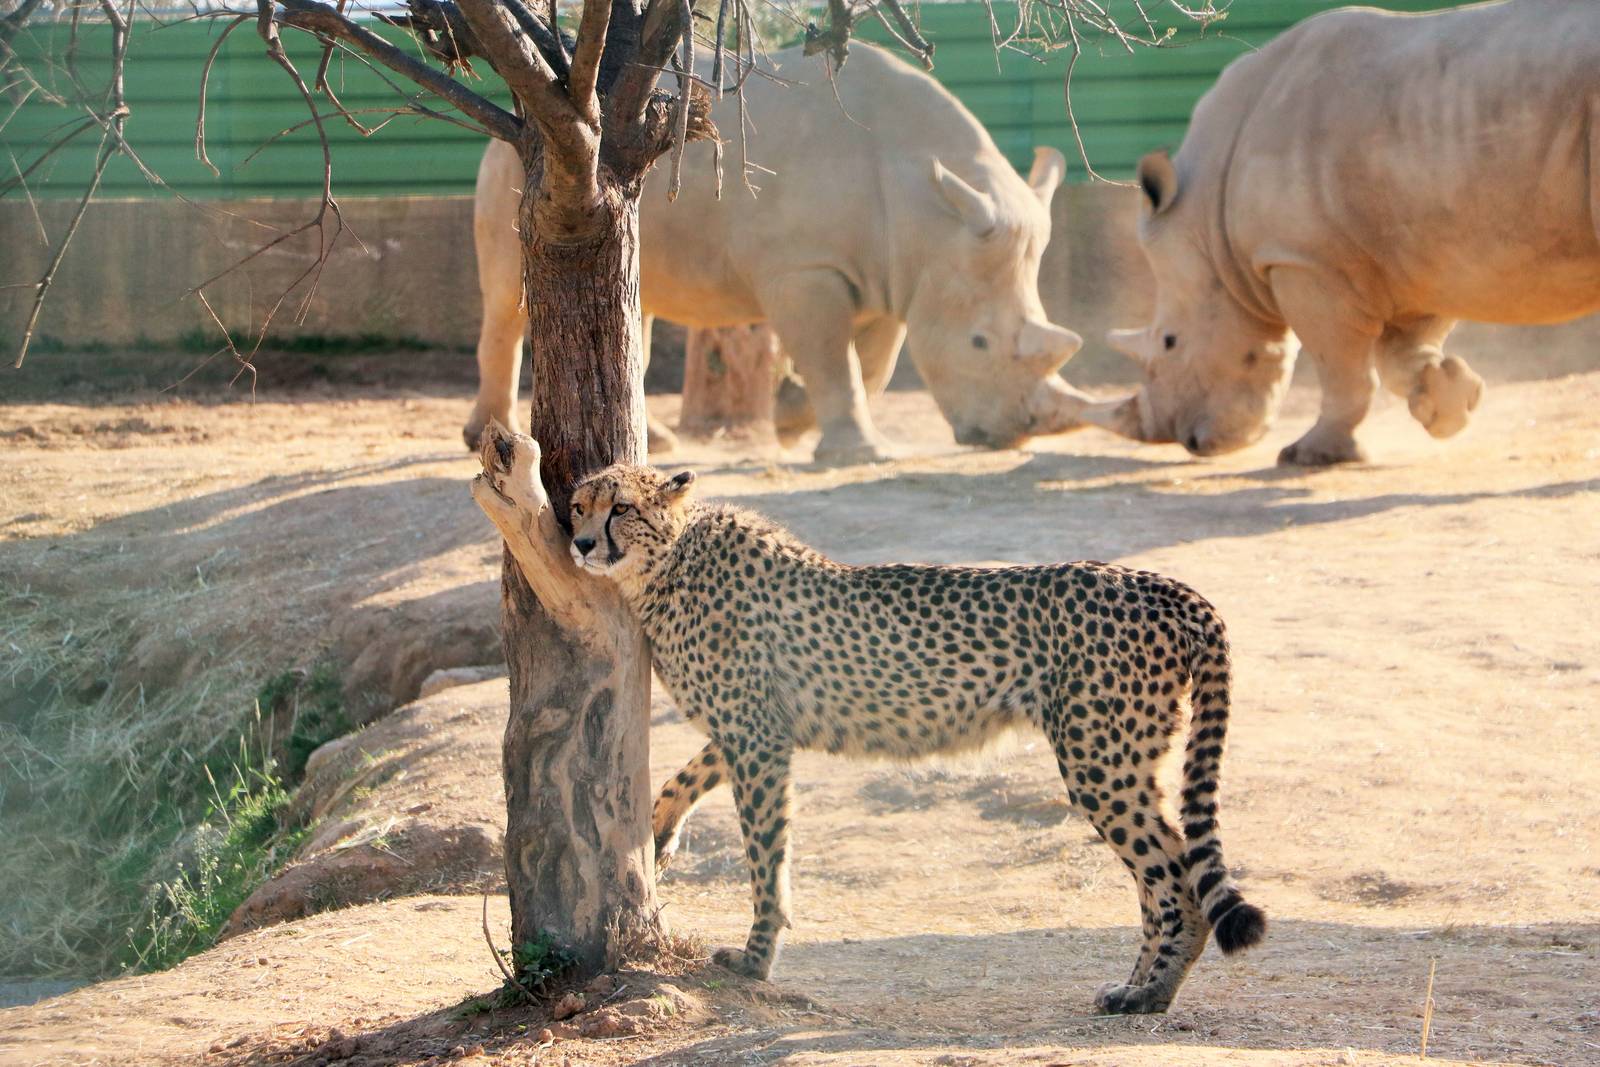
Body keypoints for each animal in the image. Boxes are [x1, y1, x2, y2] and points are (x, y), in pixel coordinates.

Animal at [467, 43, 1092, 464]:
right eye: (980, 343)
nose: (1012, 434)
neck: (931, 211)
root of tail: (526, 110)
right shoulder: (805, 267)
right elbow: (833, 356)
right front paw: (861, 454)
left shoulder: (897, 276)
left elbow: (869, 364)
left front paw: (794, 422)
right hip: (532, 167)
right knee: (509, 299)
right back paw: (489, 442)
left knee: (630, 301)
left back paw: (659, 443)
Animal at [566, 461, 1266, 1015]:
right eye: (578, 504)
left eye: (621, 508)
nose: (579, 542)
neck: (670, 560)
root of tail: (1167, 587)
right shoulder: (758, 727)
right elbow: (686, 775)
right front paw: (658, 832)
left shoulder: (756, 736)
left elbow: (766, 858)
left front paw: (756, 959)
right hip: (1125, 758)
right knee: (1164, 874)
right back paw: (1142, 986)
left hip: (1101, 761)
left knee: (1176, 881)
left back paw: (1148, 992)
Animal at [1089, 0, 1600, 466]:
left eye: (1169, 342)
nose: (1190, 442)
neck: (1208, 222)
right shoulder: (1426, 250)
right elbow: (1403, 357)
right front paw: (1450, 404)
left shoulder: (1304, 259)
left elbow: (1342, 370)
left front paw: (1310, 455)